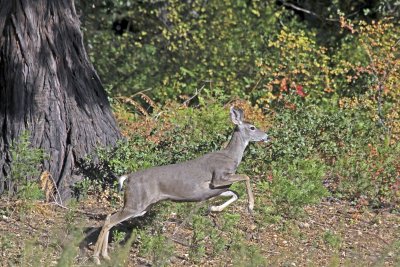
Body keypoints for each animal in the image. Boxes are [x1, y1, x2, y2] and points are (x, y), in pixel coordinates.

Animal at [93, 106, 268, 264]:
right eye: (252, 127)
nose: (267, 136)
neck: (231, 157)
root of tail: (128, 178)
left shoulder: (214, 189)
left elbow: (234, 193)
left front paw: (214, 208)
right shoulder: (218, 177)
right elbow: (246, 177)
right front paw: (251, 206)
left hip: (141, 205)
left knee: (109, 216)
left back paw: (105, 255)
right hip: (137, 202)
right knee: (110, 220)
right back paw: (97, 258)